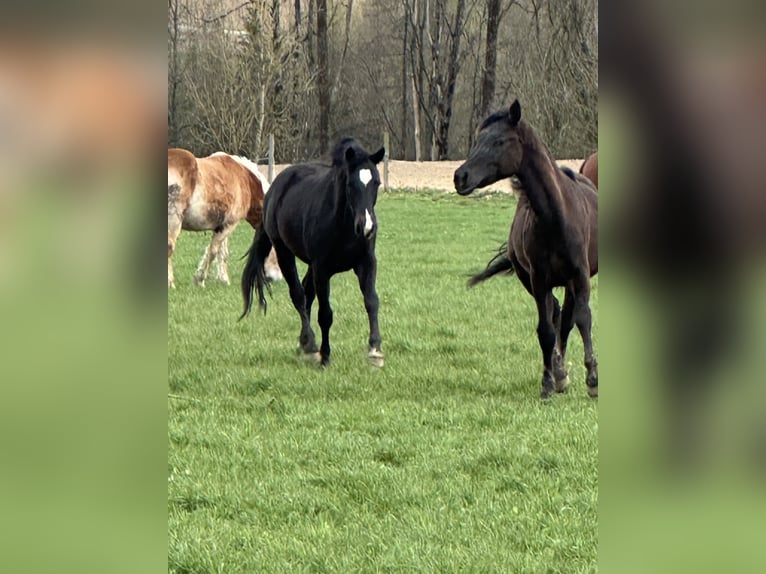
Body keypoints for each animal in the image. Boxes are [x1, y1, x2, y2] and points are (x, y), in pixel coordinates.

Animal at [167, 148, 282, 288]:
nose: (277, 278)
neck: (246, 180)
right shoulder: (230, 224)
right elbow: (213, 251)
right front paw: (200, 280)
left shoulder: (222, 225)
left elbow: (222, 252)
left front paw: (223, 279)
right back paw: (170, 283)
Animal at [240, 138, 386, 367]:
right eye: (350, 184)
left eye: (376, 183)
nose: (367, 227)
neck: (343, 227)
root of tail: (274, 188)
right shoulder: (322, 268)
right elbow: (325, 313)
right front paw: (325, 356)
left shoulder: (366, 263)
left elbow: (371, 301)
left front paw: (375, 350)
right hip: (284, 252)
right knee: (298, 295)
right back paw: (309, 344)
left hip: (310, 264)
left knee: (307, 293)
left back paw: (303, 342)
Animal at [454, 100, 598, 398]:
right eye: (477, 140)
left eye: (499, 141)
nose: (460, 176)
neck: (556, 217)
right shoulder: (539, 278)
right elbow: (546, 330)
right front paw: (548, 383)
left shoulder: (580, 275)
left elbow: (583, 319)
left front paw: (592, 380)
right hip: (530, 279)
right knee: (557, 314)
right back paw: (559, 373)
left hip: (570, 280)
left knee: (567, 318)